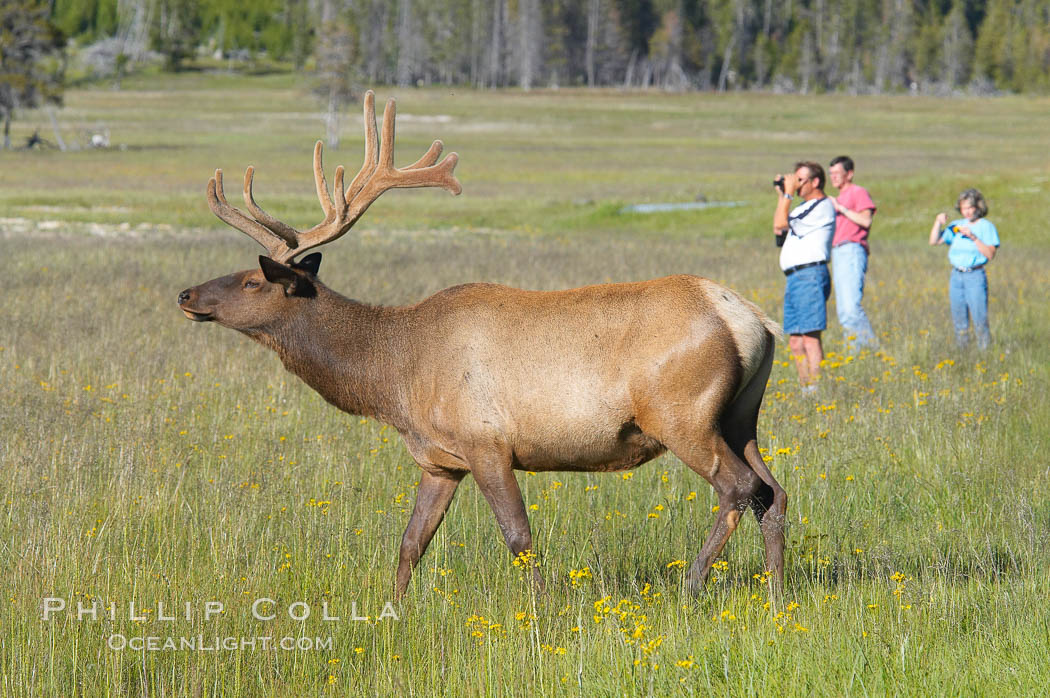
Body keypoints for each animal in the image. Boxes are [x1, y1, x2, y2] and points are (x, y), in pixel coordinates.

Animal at [178, 90, 787, 600]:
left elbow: (518, 536)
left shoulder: (487, 441)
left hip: (681, 414)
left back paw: (693, 582)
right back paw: (777, 593)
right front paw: (393, 611)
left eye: (253, 280)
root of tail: (751, 319)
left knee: (738, 487)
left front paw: (542, 609)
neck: (395, 377)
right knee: (772, 491)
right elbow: (412, 541)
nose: (186, 293)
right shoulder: (440, 461)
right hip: (741, 415)